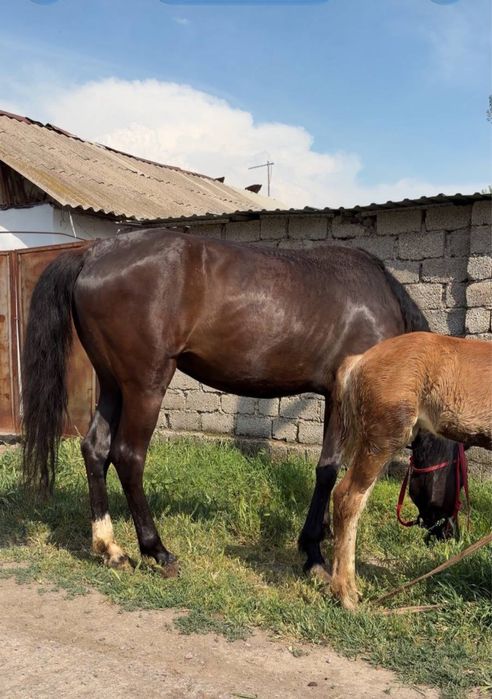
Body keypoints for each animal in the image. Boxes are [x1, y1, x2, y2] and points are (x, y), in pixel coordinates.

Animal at [21, 228, 457, 578]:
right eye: (457, 470)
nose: (450, 532)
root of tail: (94, 253)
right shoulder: (340, 397)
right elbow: (328, 470)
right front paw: (314, 554)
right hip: (145, 386)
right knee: (128, 456)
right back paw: (157, 551)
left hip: (114, 385)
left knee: (95, 449)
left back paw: (109, 547)